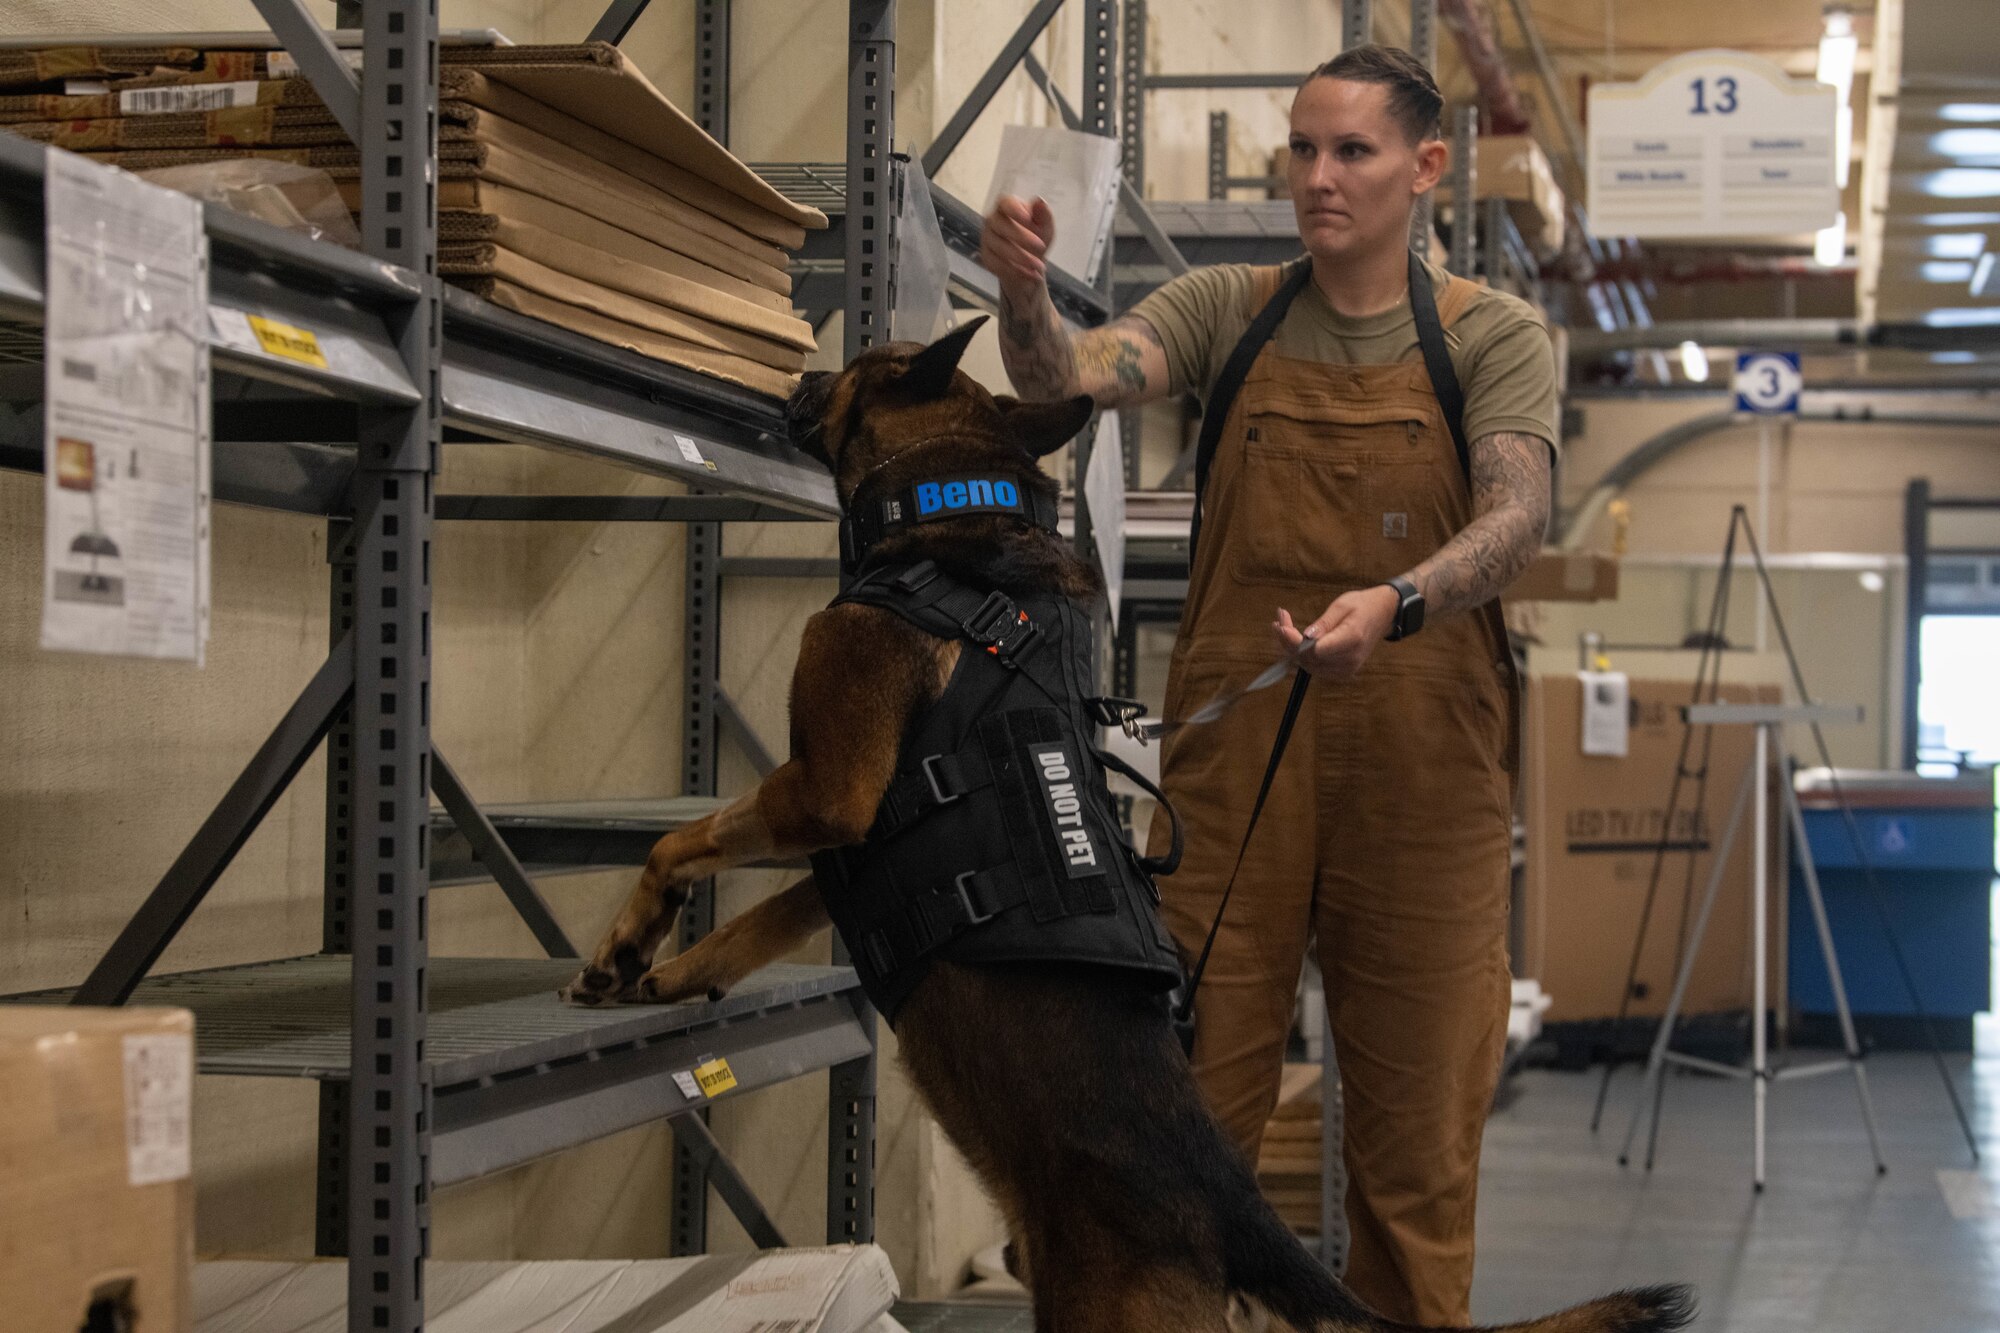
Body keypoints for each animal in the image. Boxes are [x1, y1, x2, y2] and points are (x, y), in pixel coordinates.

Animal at [560, 320, 1688, 1328]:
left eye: (865, 358)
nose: (796, 371)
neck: (948, 513)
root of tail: (1234, 1208)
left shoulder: (825, 789)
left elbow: (680, 839)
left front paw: (626, 940)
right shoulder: (844, 843)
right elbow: (758, 922)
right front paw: (668, 971)